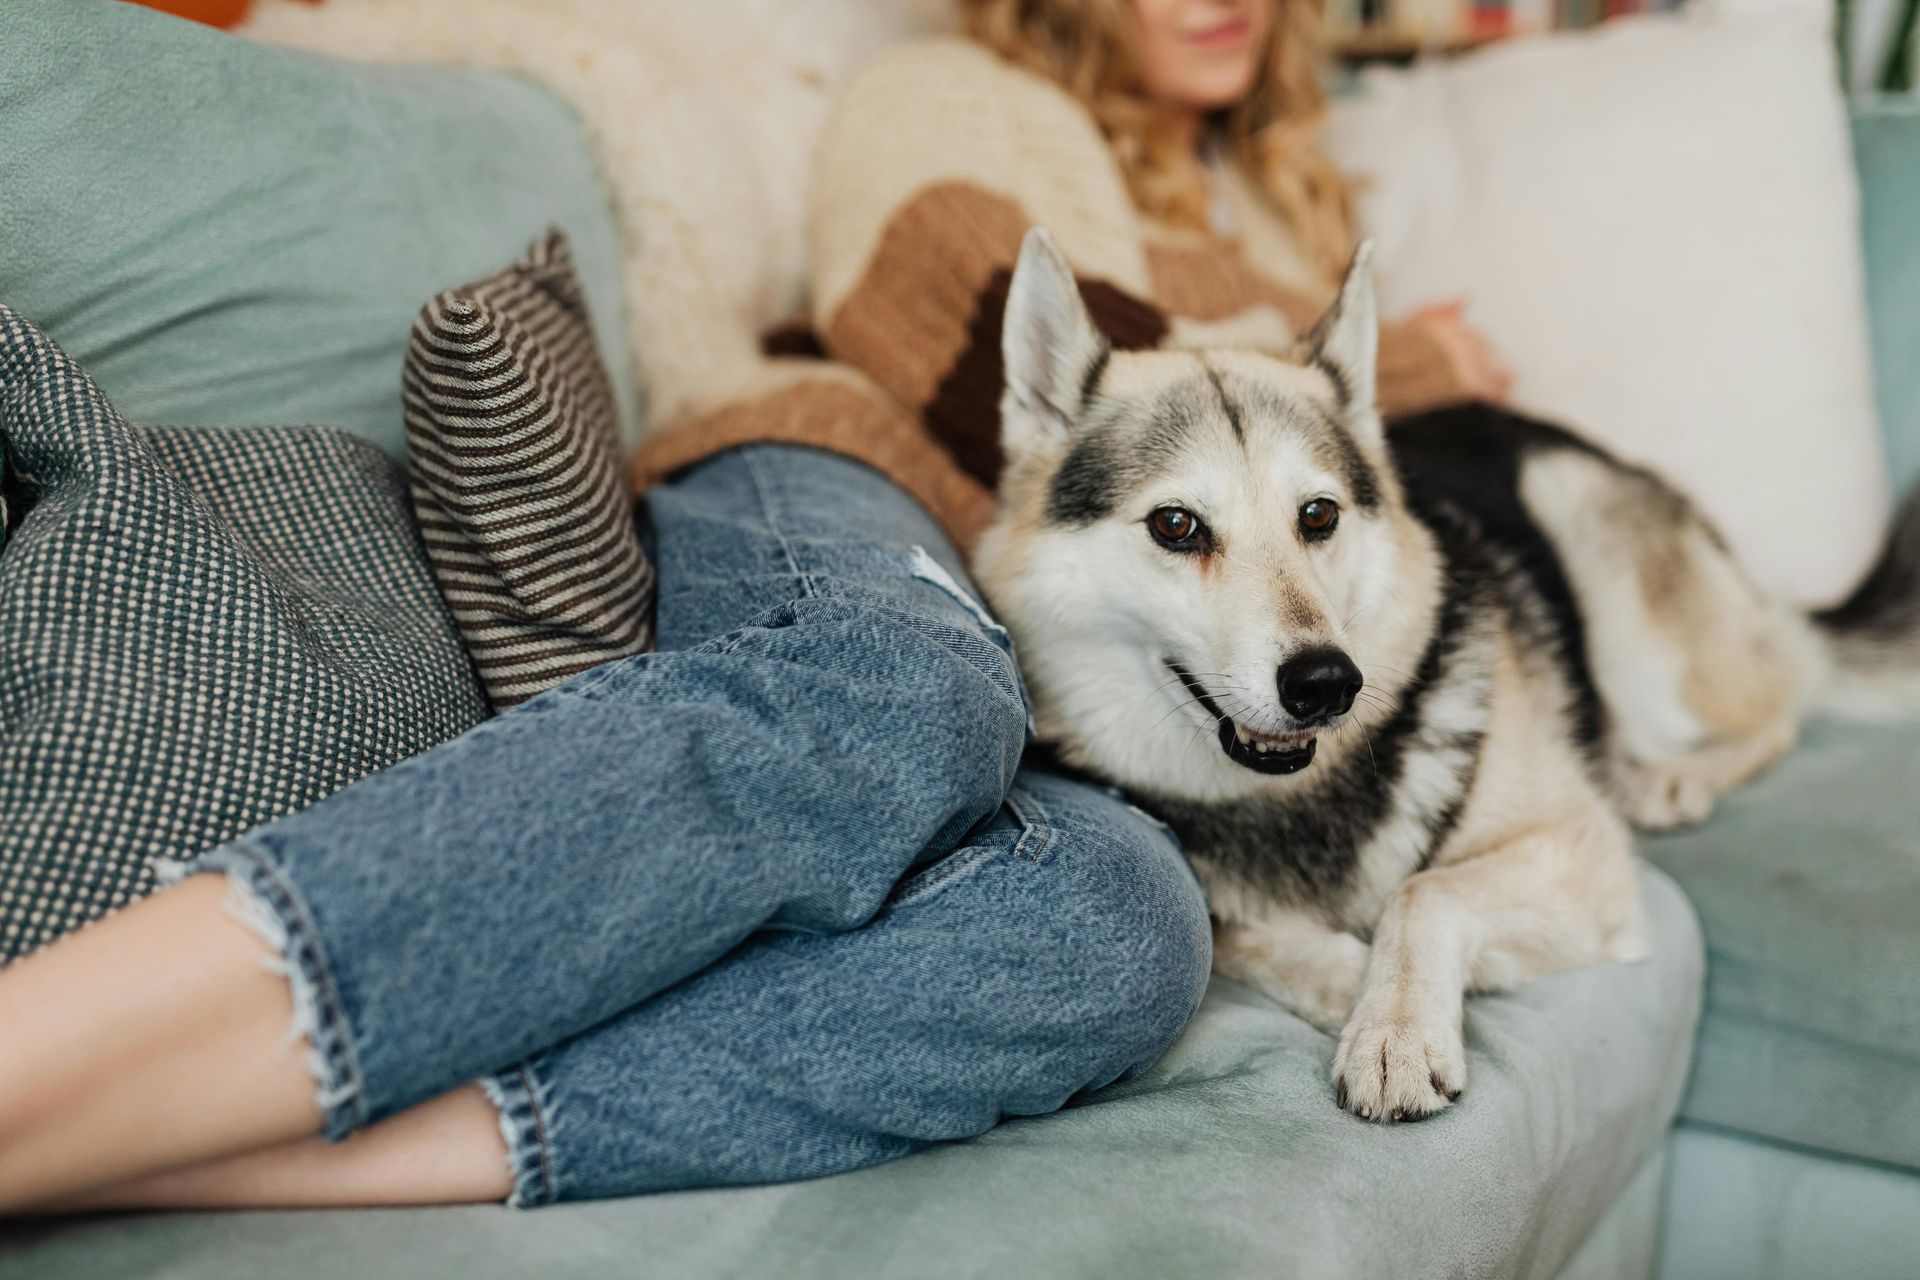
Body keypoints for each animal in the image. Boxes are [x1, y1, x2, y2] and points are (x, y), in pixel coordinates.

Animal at [975, 227, 1920, 1120]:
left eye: (1317, 515)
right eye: (1175, 525)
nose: (1328, 683)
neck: (1299, 800)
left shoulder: (1577, 852)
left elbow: (1422, 892)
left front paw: (1395, 1023)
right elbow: (1245, 936)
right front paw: (1353, 988)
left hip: (1599, 552)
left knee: (1778, 698)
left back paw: (1669, 777)